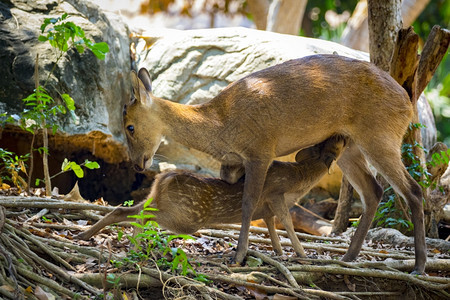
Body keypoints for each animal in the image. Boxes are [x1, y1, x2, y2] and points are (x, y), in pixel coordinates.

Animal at [75, 135, 346, 255]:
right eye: (335, 143)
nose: (342, 134)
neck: (300, 181)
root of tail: (162, 179)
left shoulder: (267, 211)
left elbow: (274, 232)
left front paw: (280, 253)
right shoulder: (275, 195)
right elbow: (288, 225)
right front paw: (301, 254)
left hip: (156, 201)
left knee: (124, 209)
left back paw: (85, 235)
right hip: (186, 218)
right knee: (143, 217)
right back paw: (132, 244)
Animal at [122, 54, 426, 274]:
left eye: (130, 127)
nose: (137, 164)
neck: (221, 126)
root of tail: (408, 102)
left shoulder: (261, 150)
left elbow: (248, 202)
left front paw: (239, 256)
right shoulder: (233, 163)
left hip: (381, 136)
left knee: (413, 189)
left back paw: (419, 266)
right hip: (350, 146)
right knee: (374, 190)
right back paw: (349, 258)